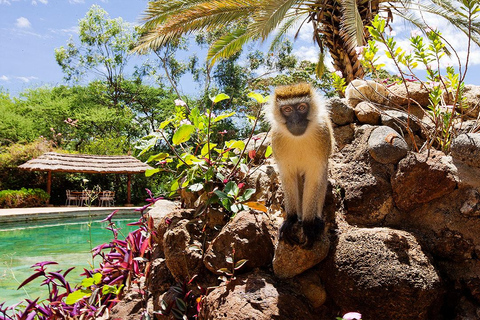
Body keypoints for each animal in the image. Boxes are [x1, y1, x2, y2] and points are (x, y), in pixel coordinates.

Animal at [262, 82, 334, 248]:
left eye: (301, 107)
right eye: (287, 110)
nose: (295, 121)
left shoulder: (323, 135)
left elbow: (314, 179)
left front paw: (308, 224)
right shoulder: (276, 140)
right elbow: (288, 177)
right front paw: (291, 219)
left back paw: (316, 219)